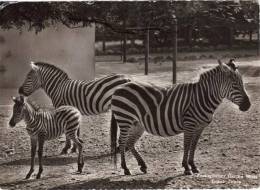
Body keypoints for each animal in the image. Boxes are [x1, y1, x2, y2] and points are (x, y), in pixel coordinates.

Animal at [110, 59, 251, 175]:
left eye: (242, 83)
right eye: (234, 84)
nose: (248, 105)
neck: (202, 97)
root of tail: (119, 87)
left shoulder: (200, 127)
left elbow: (193, 145)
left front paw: (193, 166)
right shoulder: (189, 124)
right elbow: (187, 145)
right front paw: (186, 168)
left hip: (137, 124)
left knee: (130, 142)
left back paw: (142, 165)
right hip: (125, 119)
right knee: (122, 142)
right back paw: (126, 168)